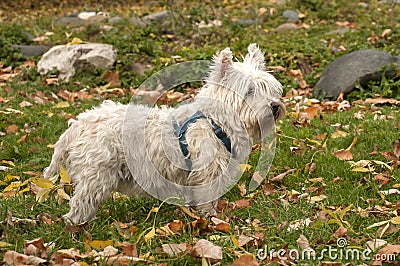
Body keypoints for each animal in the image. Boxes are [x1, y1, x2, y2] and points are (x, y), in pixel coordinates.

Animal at [43, 44, 286, 224]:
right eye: (249, 91)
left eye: (269, 89)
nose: (274, 106)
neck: (215, 123)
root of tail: (78, 125)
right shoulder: (208, 174)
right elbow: (208, 201)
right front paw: (211, 219)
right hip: (97, 174)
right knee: (80, 204)